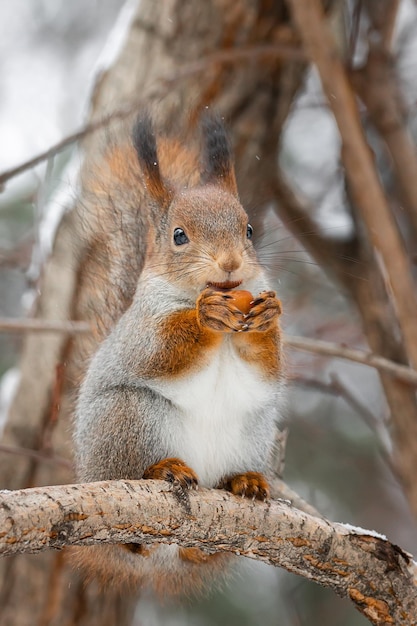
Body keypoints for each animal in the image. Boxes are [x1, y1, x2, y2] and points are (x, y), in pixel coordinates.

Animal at [73, 112, 284, 596]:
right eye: (179, 236)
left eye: (248, 230)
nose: (230, 263)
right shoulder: (144, 330)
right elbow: (164, 351)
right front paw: (206, 315)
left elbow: (269, 368)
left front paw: (268, 318)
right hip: (128, 419)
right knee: (132, 524)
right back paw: (161, 472)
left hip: (253, 432)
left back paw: (242, 483)